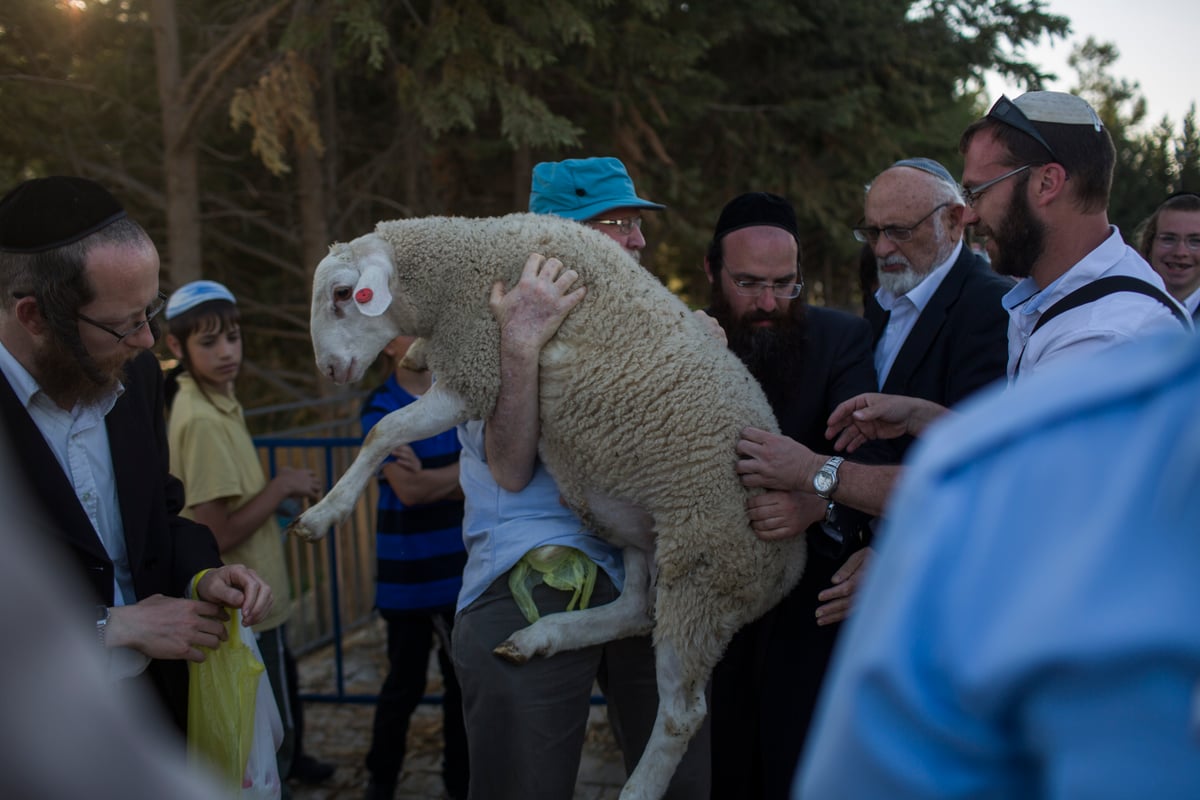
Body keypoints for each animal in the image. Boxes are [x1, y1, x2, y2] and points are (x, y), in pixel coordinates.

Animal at [290, 212, 806, 800]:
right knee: (633, 610)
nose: (331, 369)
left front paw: (322, 515)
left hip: (704, 570)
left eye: (342, 294)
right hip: (634, 527)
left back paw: (637, 788)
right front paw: (417, 354)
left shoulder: (479, 367)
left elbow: (384, 431)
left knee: (682, 712)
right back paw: (541, 637)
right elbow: (390, 423)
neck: (463, 264)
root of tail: (790, 566)